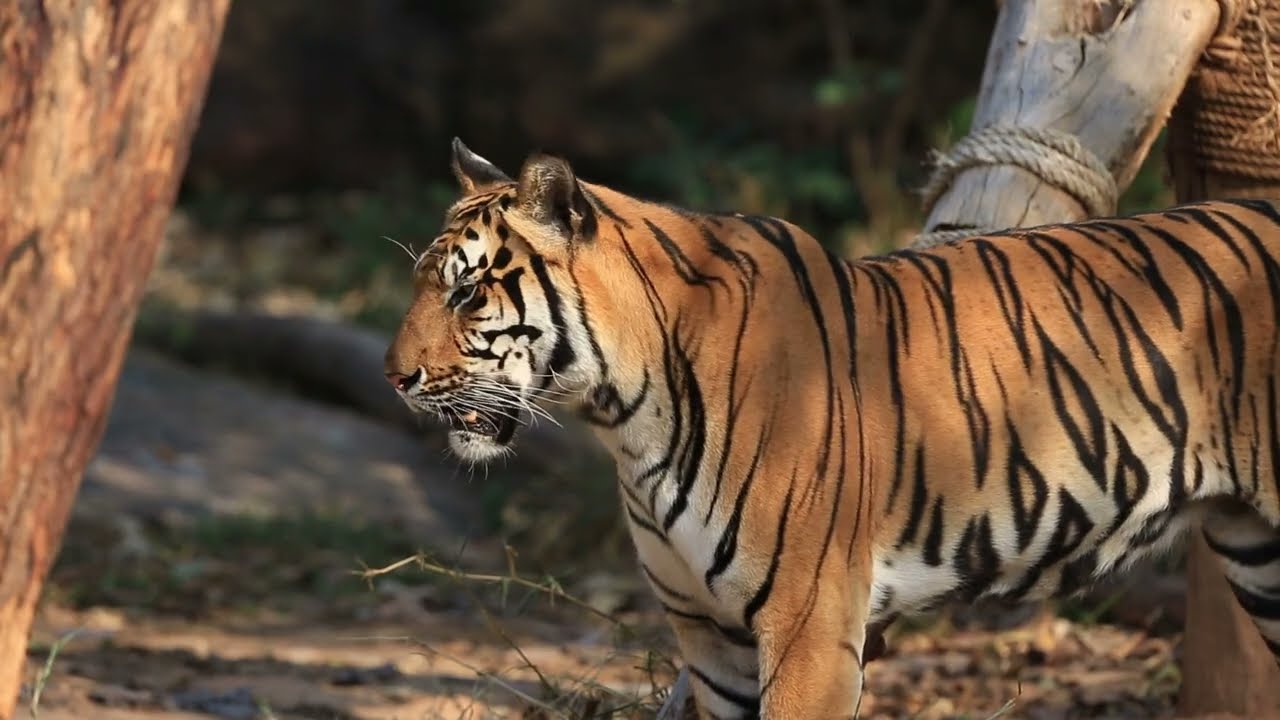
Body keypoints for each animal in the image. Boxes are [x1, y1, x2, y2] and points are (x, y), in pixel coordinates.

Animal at [384, 137, 1280, 719]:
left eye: (467, 292)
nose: (395, 379)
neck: (625, 418)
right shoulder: (711, 639)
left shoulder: (809, 625)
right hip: (1259, 554)